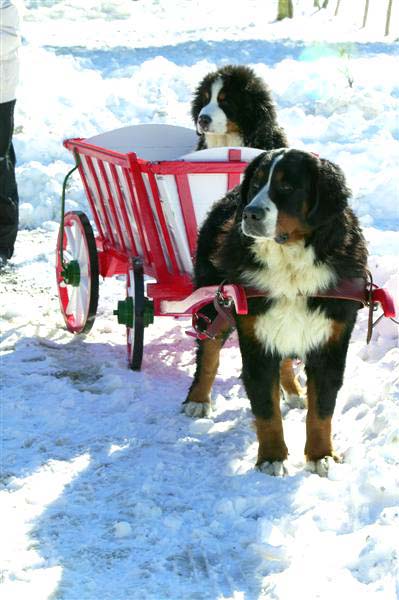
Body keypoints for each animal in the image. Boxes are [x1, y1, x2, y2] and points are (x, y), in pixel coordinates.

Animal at [184, 148, 368, 476]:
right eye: (257, 183)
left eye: (287, 186)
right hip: (215, 301)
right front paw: (271, 458)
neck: (290, 264)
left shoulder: (331, 341)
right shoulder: (255, 336)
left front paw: (321, 455)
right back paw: (197, 399)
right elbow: (266, 409)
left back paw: (294, 392)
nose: (250, 213)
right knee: (208, 350)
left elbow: (322, 408)